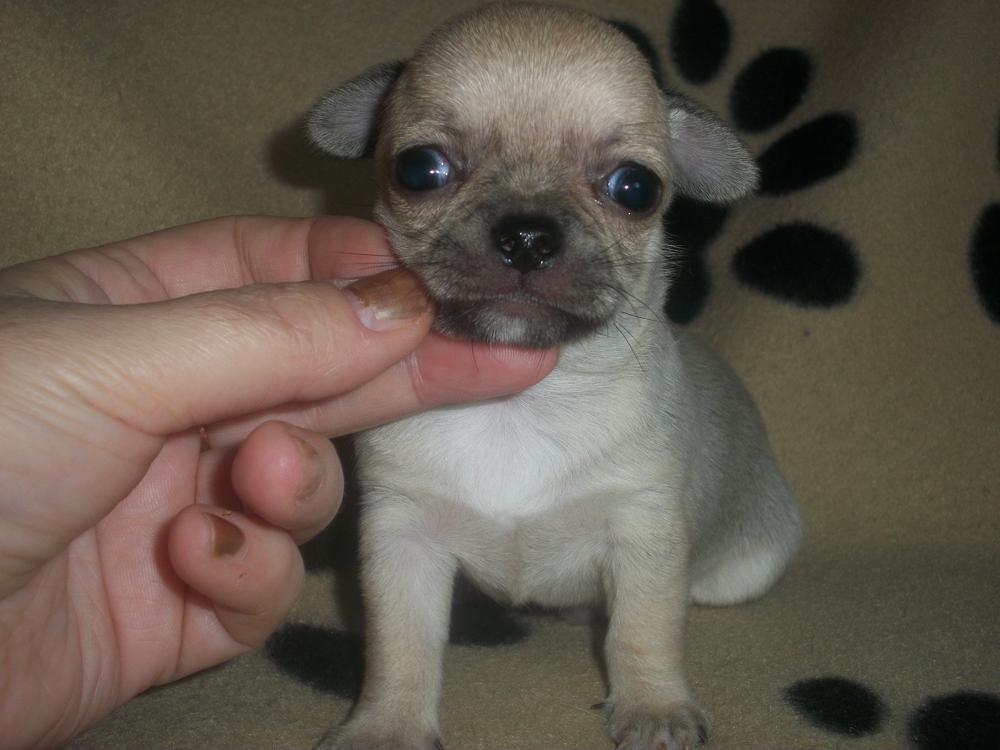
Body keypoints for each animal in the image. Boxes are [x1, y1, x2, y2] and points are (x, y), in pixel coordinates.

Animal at [306, 3, 802, 748]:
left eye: (635, 188)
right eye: (420, 169)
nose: (527, 235)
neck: (520, 404)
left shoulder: (644, 532)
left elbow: (643, 631)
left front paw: (653, 706)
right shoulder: (403, 541)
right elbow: (401, 646)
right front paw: (387, 724)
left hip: (746, 565)